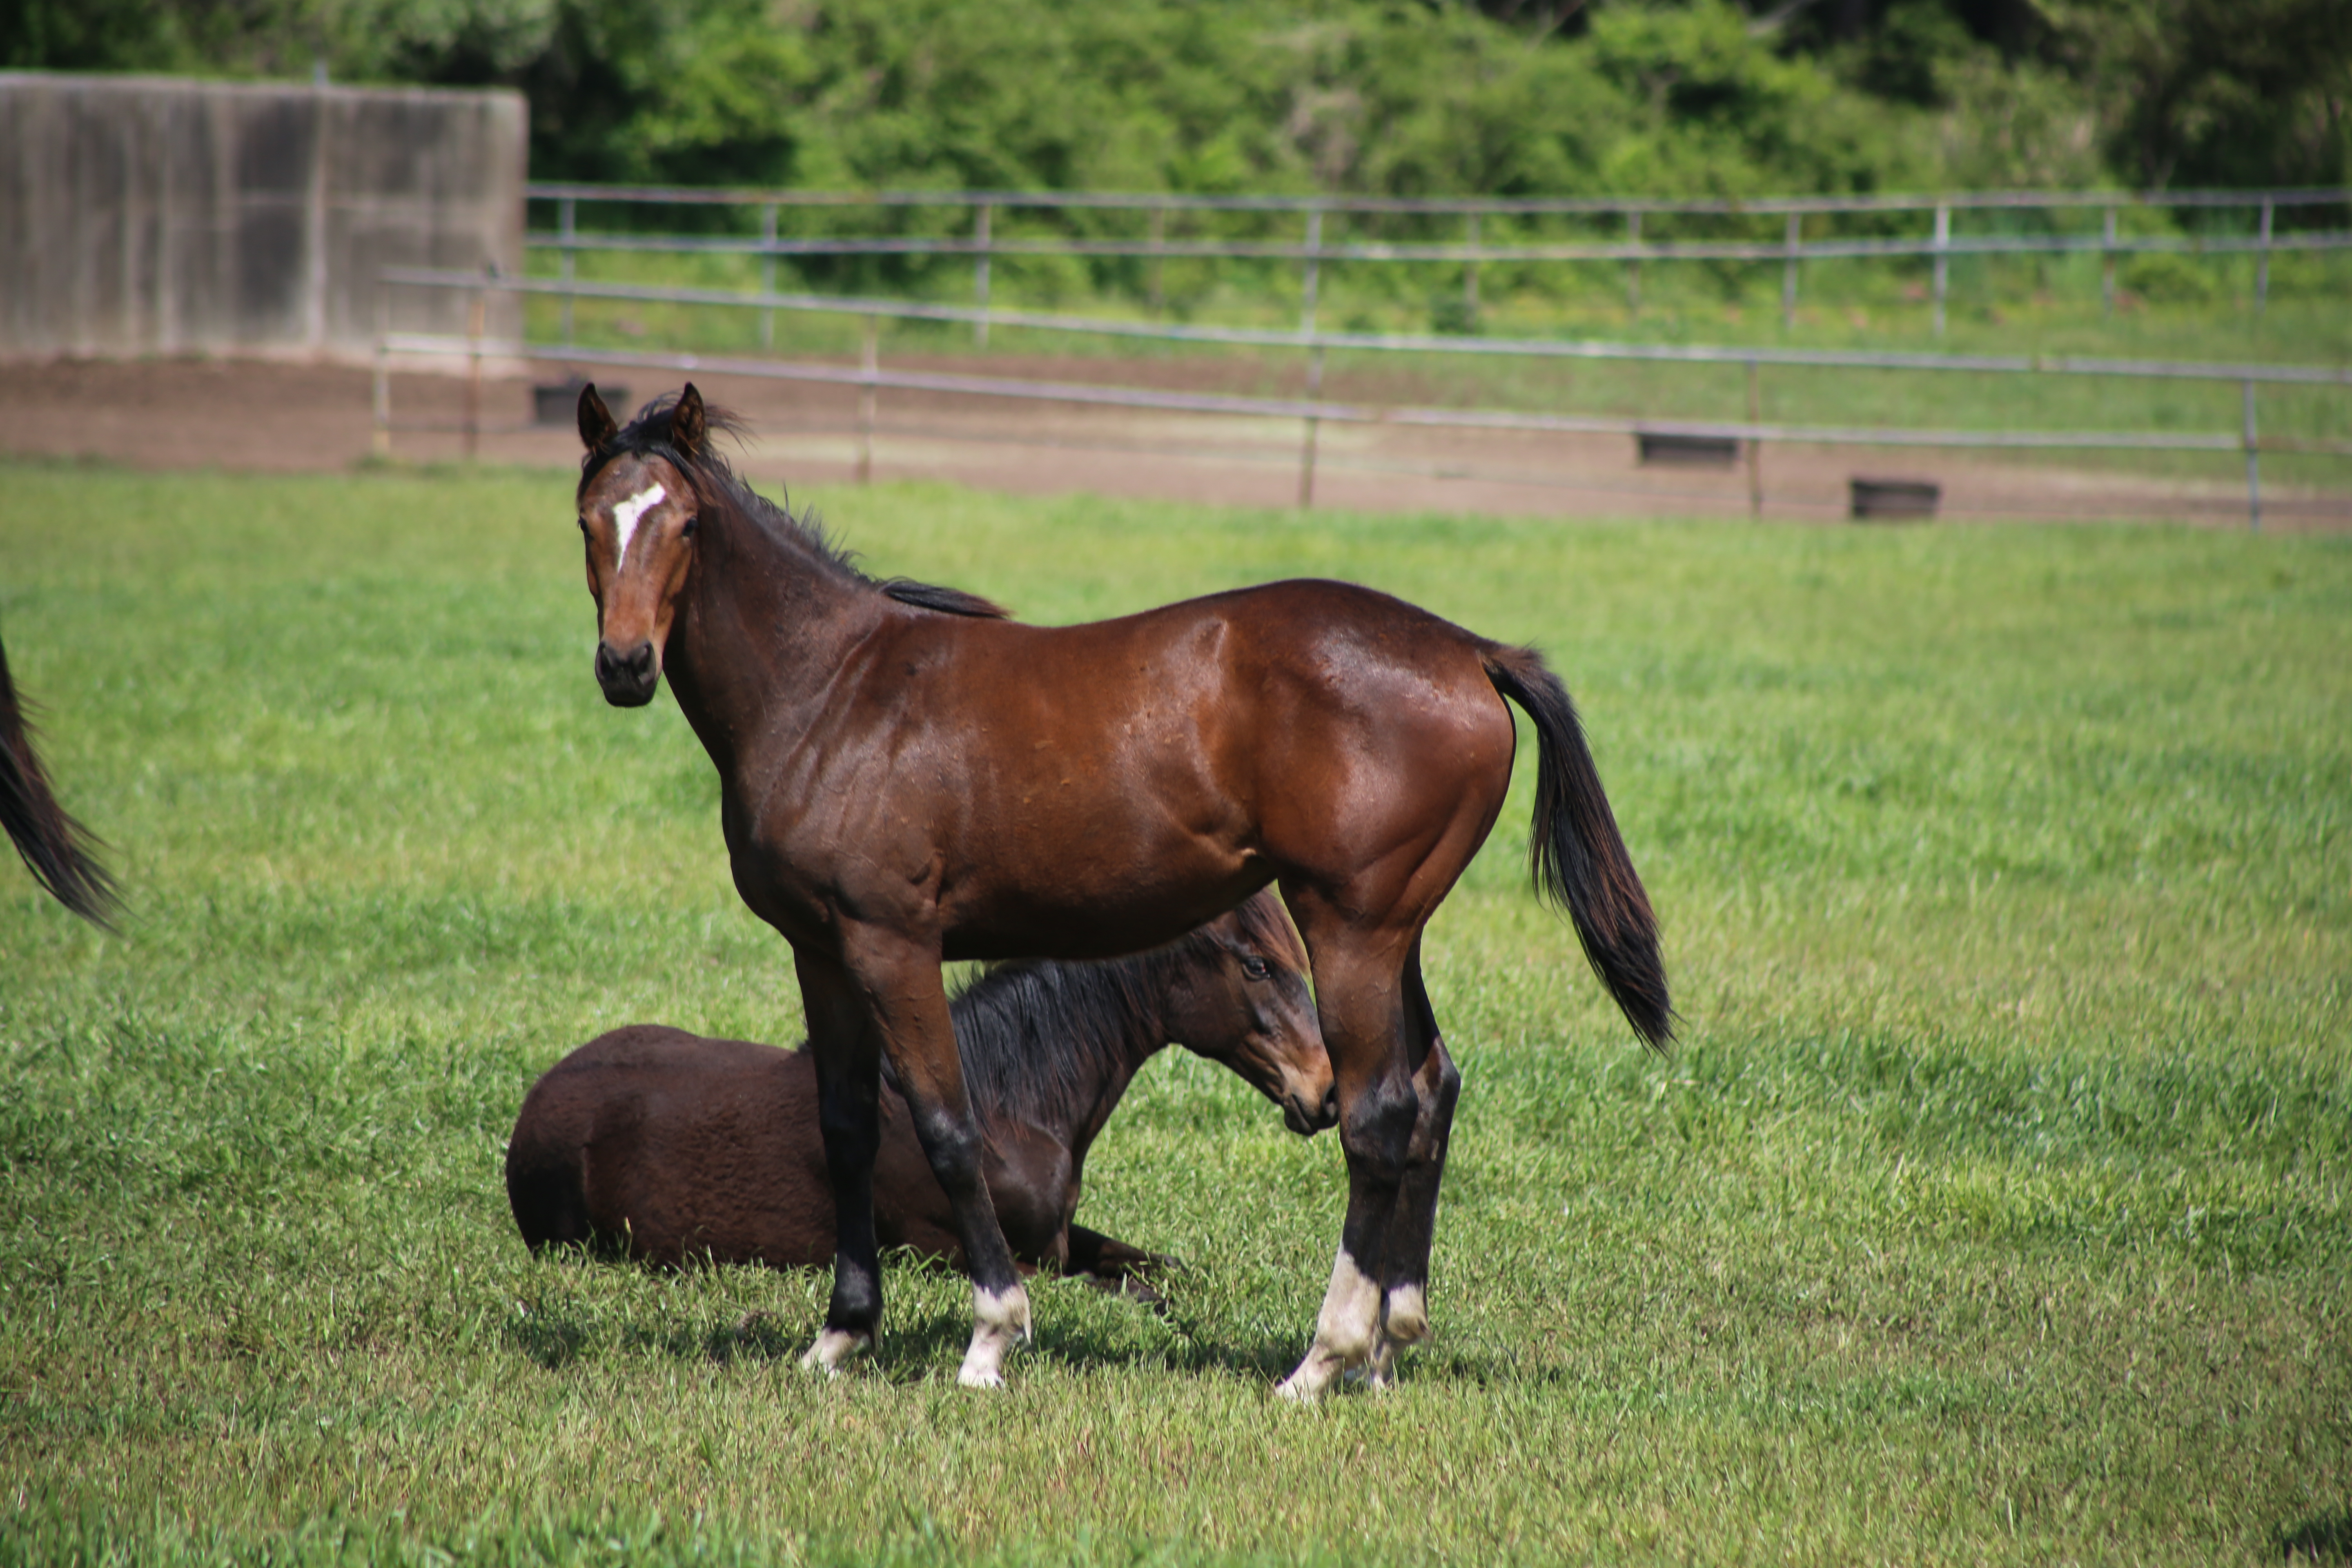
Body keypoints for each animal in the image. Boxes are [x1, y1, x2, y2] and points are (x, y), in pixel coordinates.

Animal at [508, 889, 1336, 1297]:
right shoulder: (961, 1255)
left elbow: (1158, 1269)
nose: (1326, 1093)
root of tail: (535, 1103)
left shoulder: (1062, 1233)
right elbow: (1128, 1292)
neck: (1004, 1111)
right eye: (1258, 965)